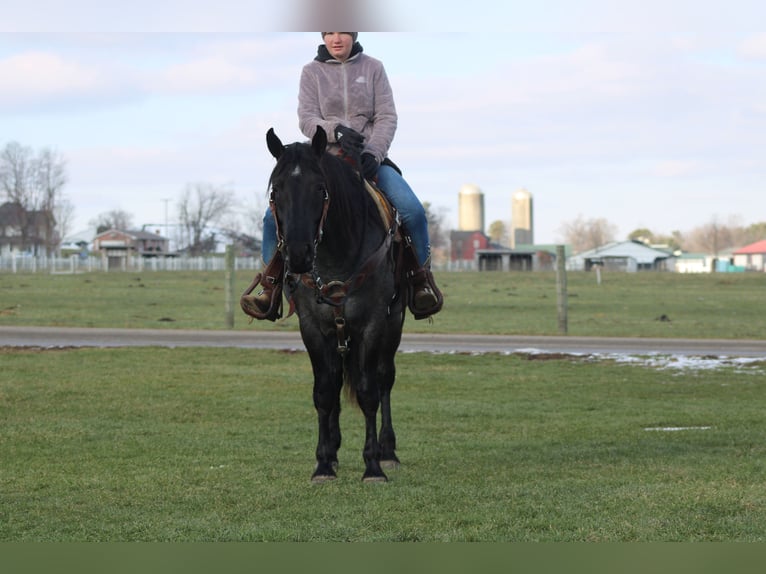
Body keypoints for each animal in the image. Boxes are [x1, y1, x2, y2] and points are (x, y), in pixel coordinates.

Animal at [265, 126, 405, 483]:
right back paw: (335, 448)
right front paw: (323, 463)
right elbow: (324, 392)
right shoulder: (313, 328)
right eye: (276, 190)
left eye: (320, 188)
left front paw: (372, 466)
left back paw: (388, 451)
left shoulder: (372, 324)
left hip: (394, 323)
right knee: (338, 379)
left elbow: (369, 390)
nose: (298, 254)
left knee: (385, 377)